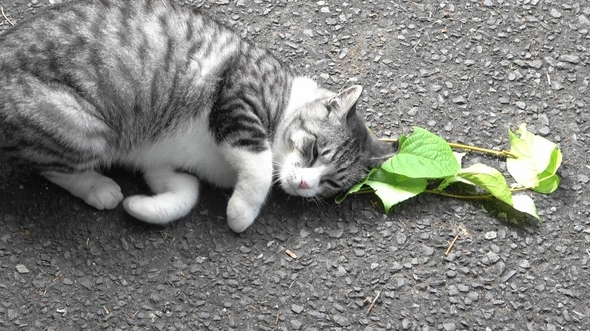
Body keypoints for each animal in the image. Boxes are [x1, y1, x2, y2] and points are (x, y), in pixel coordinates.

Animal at [1, 0, 398, 233]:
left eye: (330, 183)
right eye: (314, 150)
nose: (304, 184)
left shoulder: (158, 162)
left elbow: (186, 191)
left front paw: (143, 207)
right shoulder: (238, 99)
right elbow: (257, 165)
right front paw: (241, 214)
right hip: (82, 126)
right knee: (50, 165)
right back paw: (99, 187)